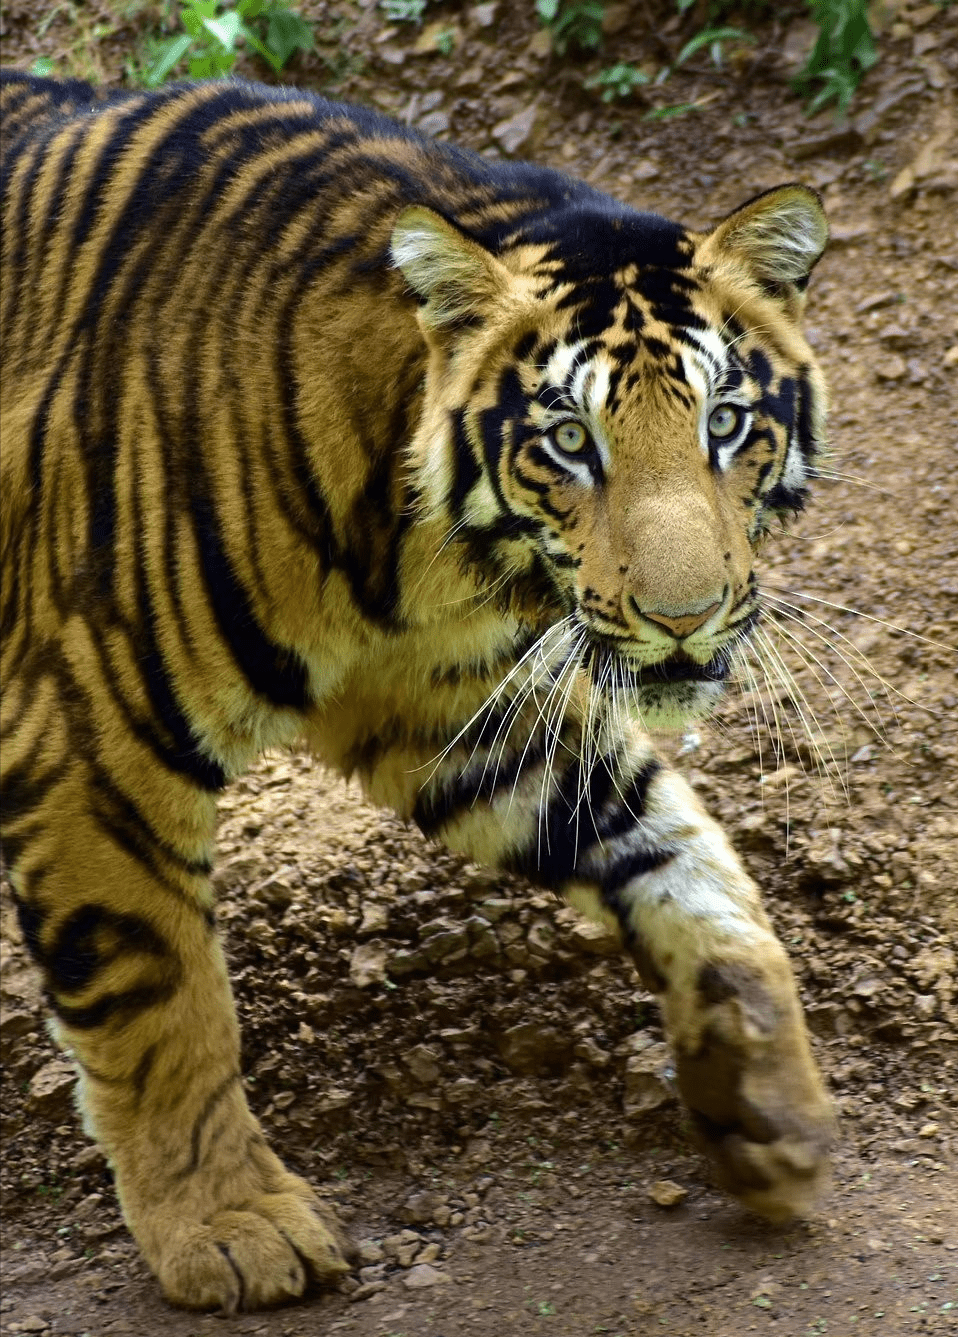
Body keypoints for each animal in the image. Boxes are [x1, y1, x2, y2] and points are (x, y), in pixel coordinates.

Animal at [0, 67, 833, 1310]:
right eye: (569, 440)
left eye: (725, 423)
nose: (683, 617)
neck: (421, 558)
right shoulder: (92, 729)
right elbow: (160, 996)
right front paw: (231, 1228)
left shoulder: (461, 712)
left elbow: (678, 854)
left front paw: (766, 1097)